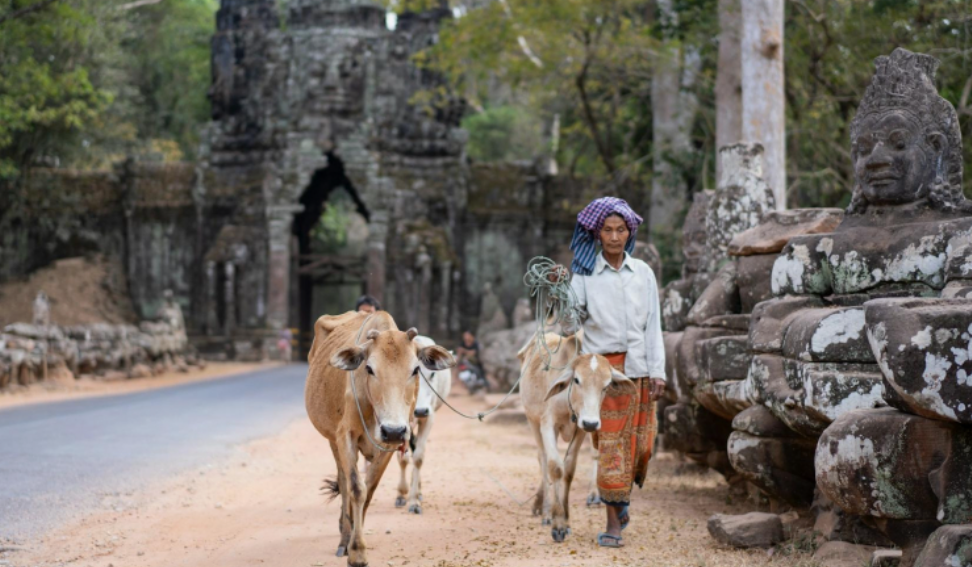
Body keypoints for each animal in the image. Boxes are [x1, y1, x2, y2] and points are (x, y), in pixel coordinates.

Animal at [306, 312, 454, 564]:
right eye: (369, 368)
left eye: (415, 369)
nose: (393, 430)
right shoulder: (345, 435)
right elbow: (356, 488)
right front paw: (355, 549)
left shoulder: (392, 442)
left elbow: (370, 488)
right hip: (332, 438)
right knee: (343, 482)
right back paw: (344, 533)